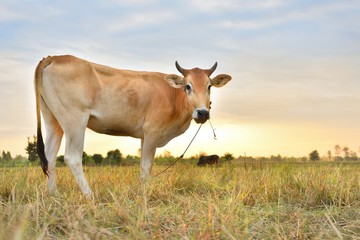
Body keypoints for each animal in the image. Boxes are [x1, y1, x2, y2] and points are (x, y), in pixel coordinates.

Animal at [35, 55, 232, 196]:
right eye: (187, 86)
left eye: (209, 86)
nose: (203, 113)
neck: (172, 96)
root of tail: (56, 57)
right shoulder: (152, 131)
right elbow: (146, 166)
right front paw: (143, 195)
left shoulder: (144, 136)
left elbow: (143, 167)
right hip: (75, 121)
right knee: (72, 158)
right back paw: (89, 196)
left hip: (53, 120)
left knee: (50, 158)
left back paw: (54, 194)